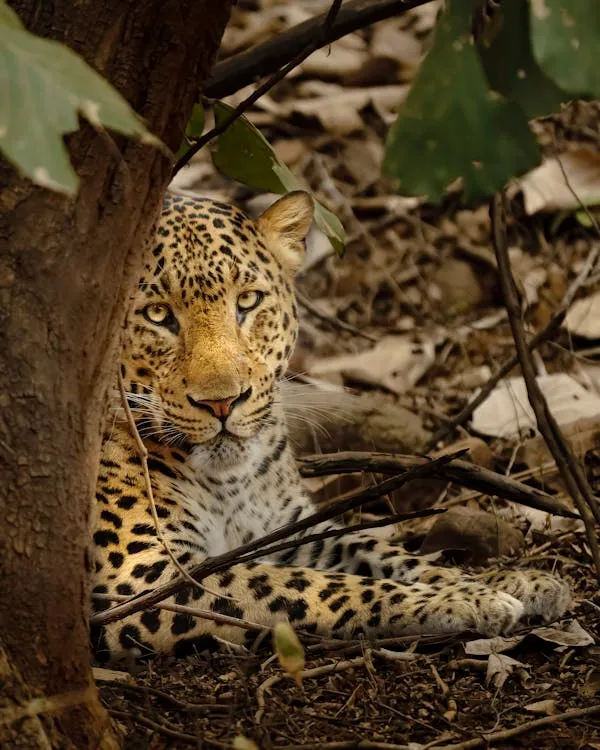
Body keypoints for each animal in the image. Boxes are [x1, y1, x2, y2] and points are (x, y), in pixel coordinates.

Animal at [91, 191, 571, 662]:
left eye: (247, 302)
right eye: (158, 314)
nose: (222, 402)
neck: (229, 482)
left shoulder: (293, 530)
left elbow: (388, 554)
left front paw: (506, 582)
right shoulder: (141, 577)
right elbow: (308, 586)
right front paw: (464, 601)